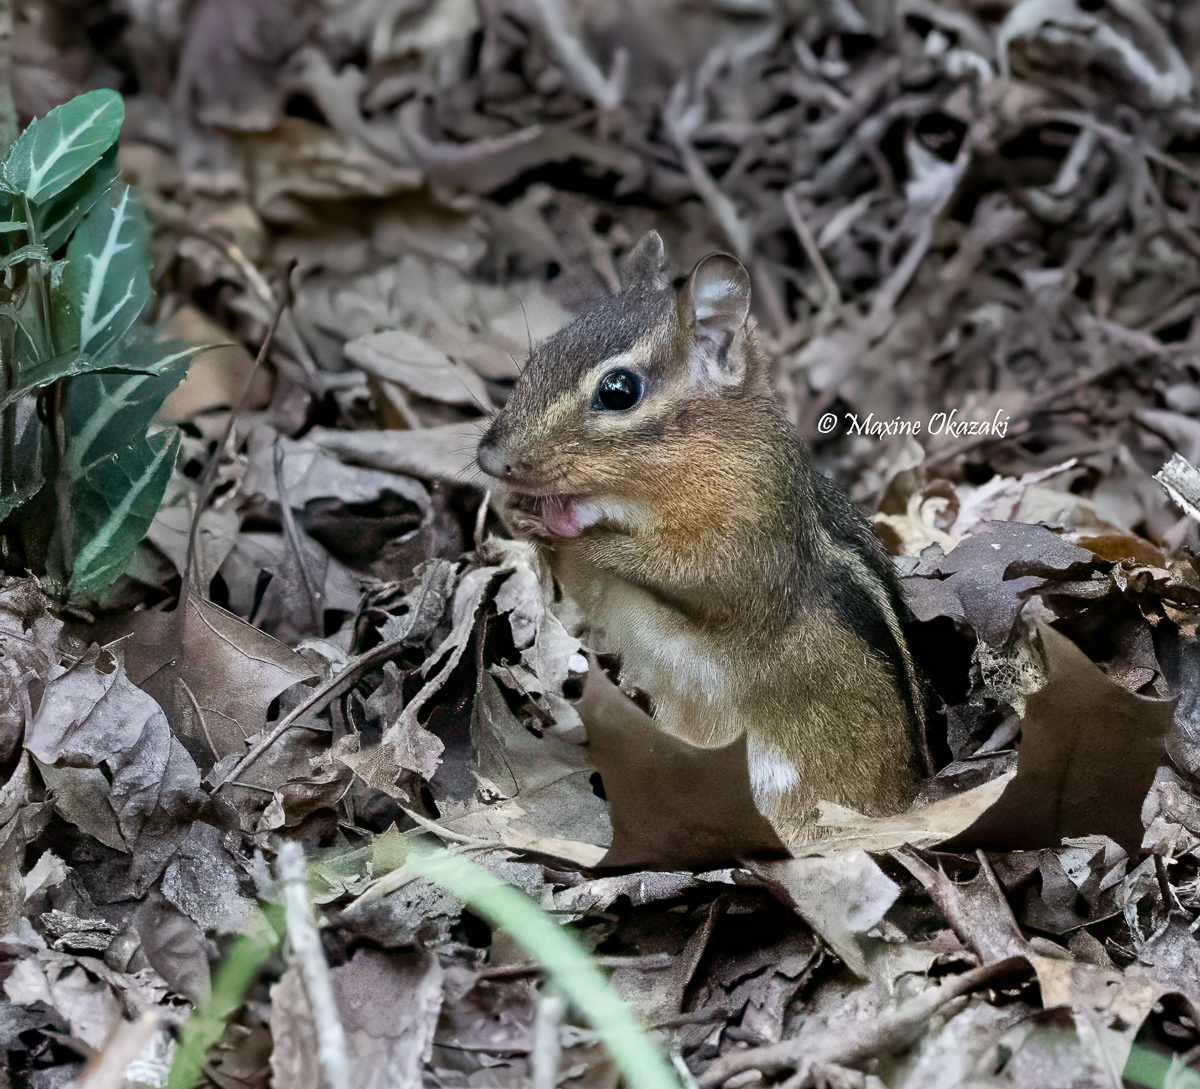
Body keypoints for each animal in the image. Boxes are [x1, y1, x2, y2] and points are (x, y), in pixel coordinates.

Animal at [477, 231, 928, 849]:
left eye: (618, 390)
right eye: (537, 356)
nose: (488, 457)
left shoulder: (744, 543)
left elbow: (688, 572)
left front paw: (581, 534)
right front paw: (521, 513)